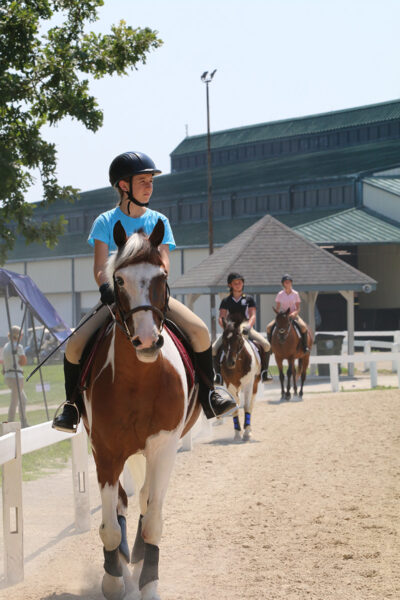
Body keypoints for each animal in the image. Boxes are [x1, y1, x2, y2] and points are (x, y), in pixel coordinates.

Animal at [82, 220, 200, 600]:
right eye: (119, 280)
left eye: (162, 275)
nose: (147, 341)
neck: (138, 380)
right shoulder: (105, 451)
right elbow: (109, 524)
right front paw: (113, 579)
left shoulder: (163, 448)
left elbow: (154, 523)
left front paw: (148, 582)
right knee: (125, 500)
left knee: (148, 499)